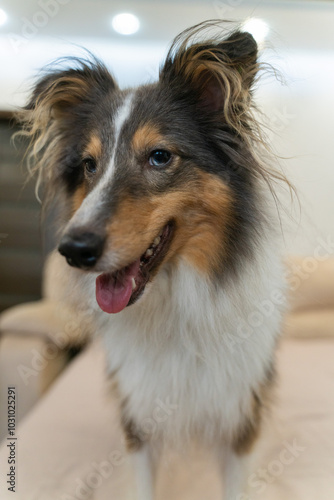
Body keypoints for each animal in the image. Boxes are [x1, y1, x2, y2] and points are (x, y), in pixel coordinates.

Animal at [17, 20, 288, 500]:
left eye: (160, 157)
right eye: (88, 165)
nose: (73, 251)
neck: (175, 301)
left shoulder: (240, 417)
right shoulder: (138, 419)